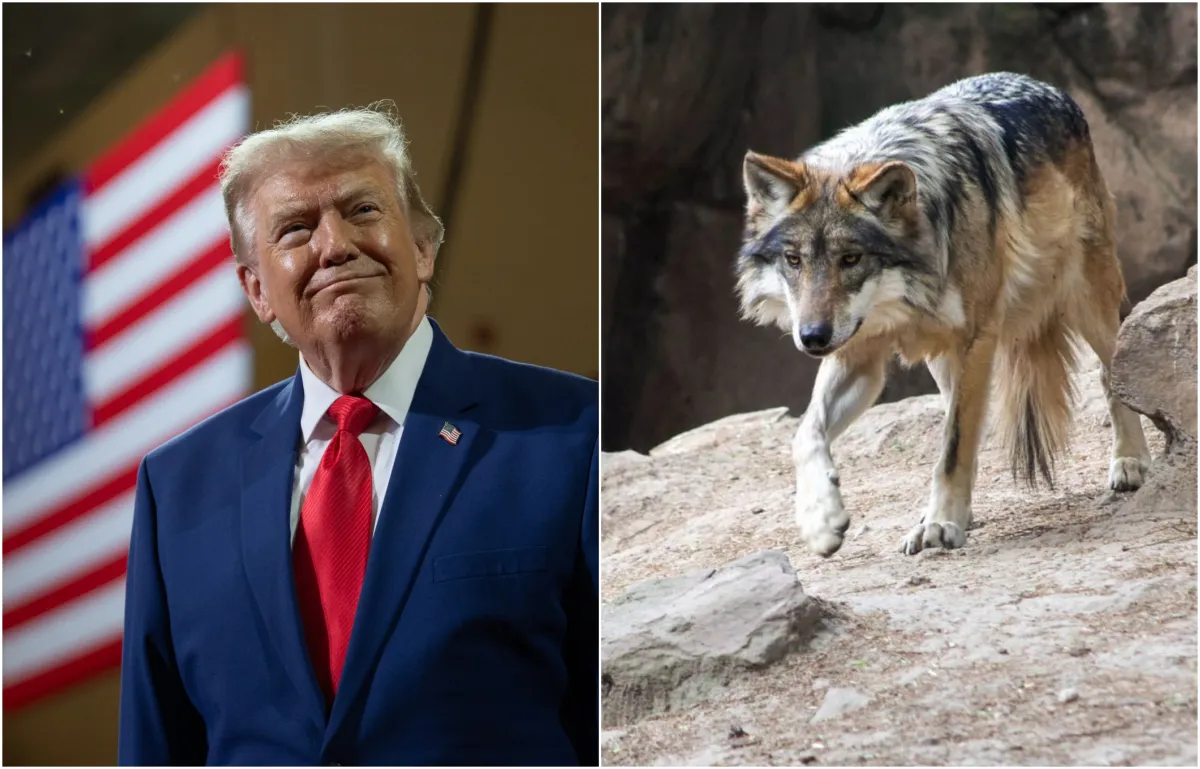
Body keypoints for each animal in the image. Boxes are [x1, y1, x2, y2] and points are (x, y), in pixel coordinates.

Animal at [735, 72, 1151, 557]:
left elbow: (952, 447)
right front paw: (821, 520)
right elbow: (805, 434)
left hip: (1086, 300)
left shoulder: (976, 339)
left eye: (851, 259)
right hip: (942, 360)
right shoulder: (859, 355)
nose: (812, 337)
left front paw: (940, 525)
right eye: (794, 260)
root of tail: (1045, 85)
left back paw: (1130, 462)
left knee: (1110, 372)